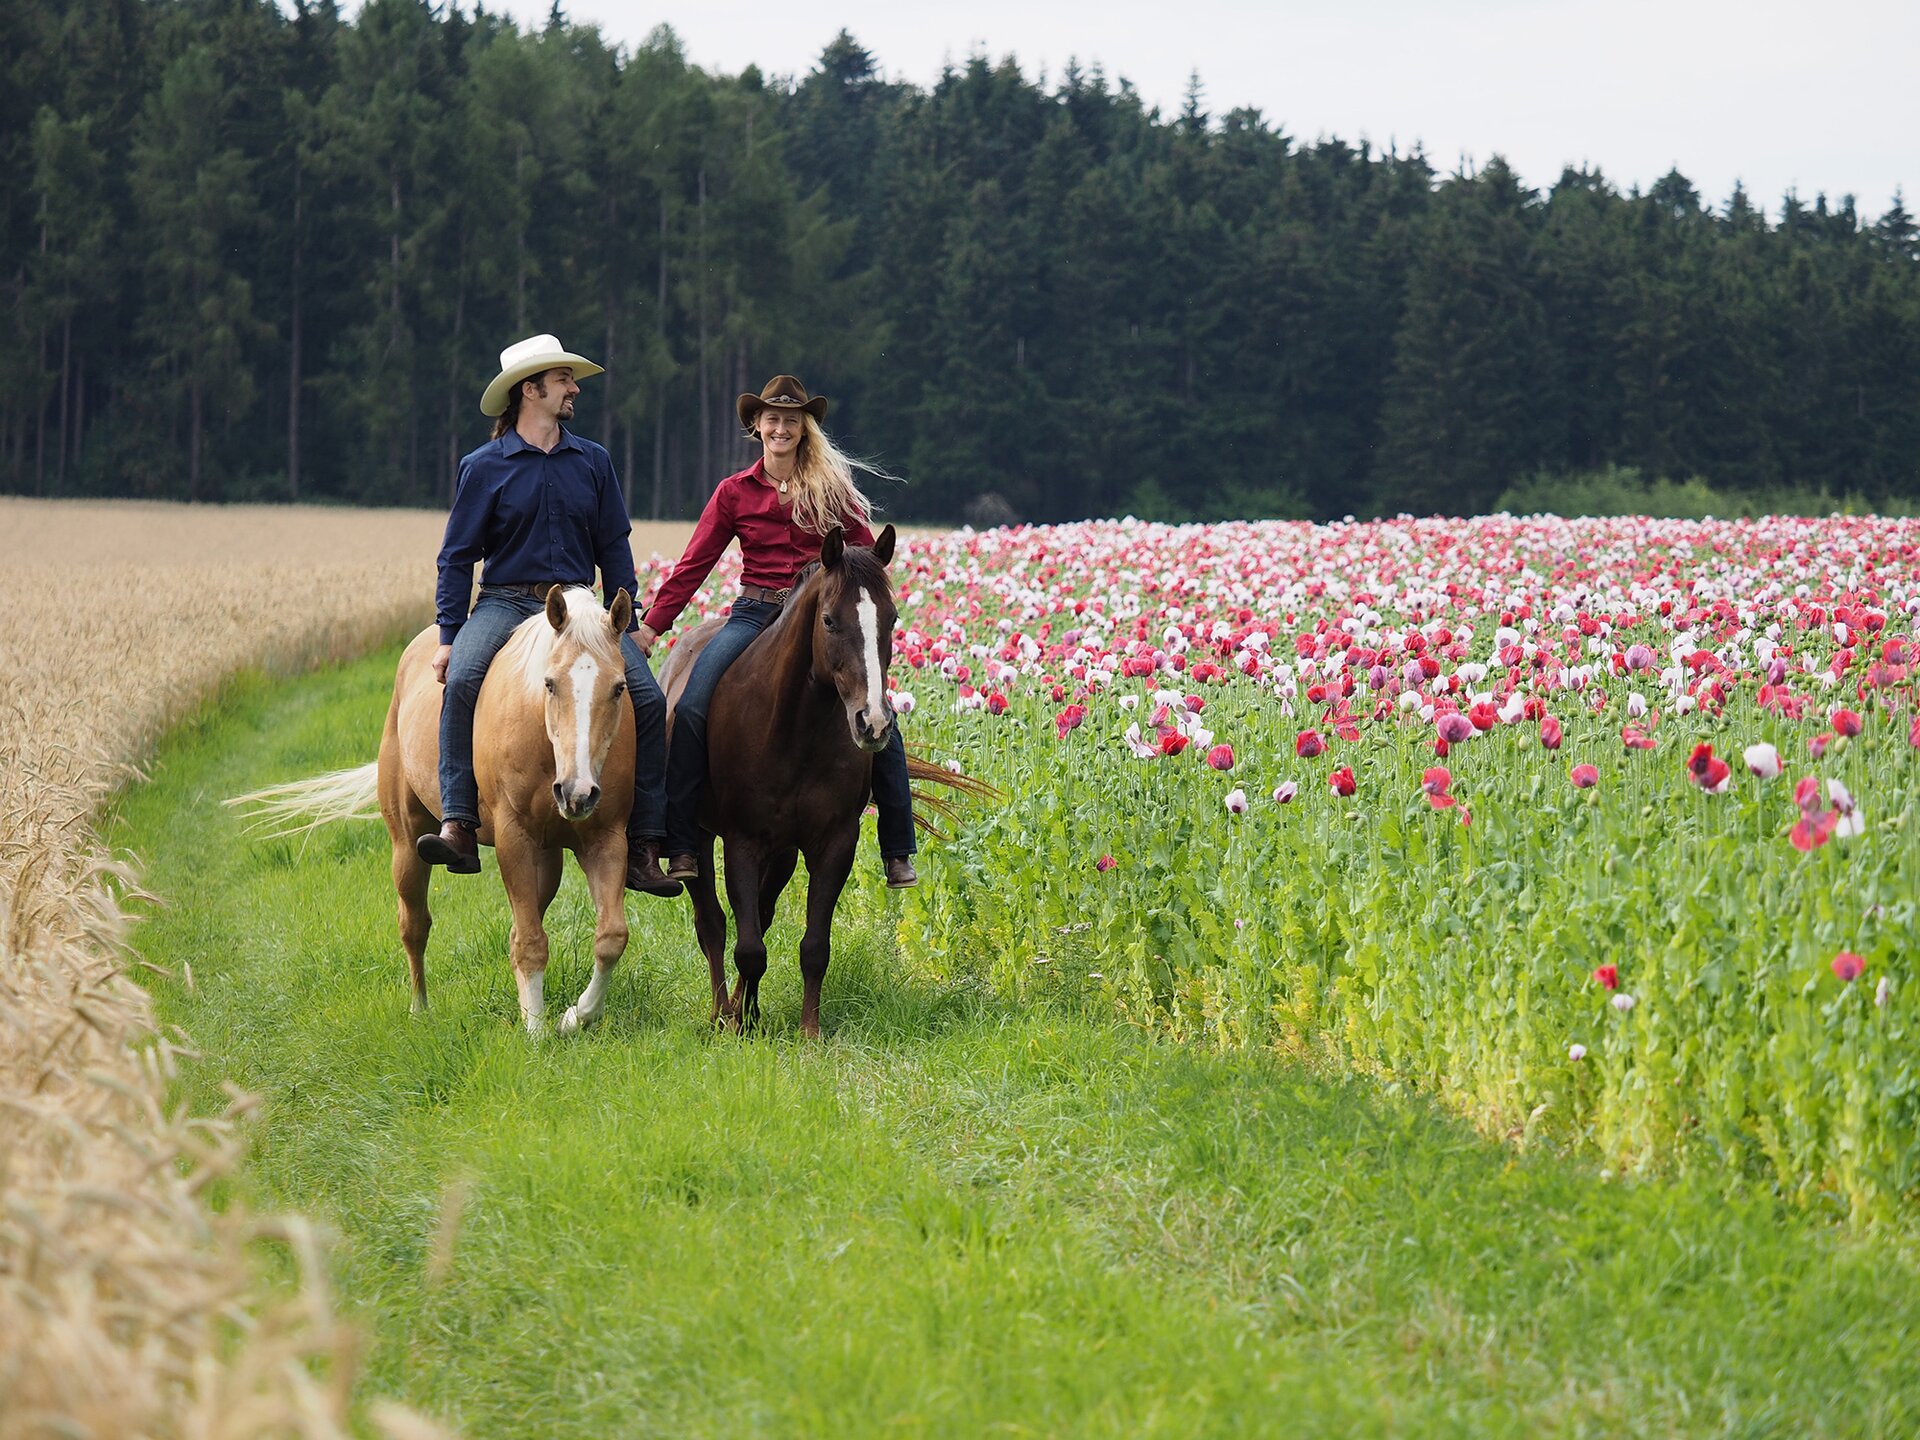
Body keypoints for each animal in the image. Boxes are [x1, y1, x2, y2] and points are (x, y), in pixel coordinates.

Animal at [231, 587, 637, 1036]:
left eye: (618, 687)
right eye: (550, 684)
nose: (576, 794)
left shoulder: (605, 839)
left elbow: (610, 937)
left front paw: (571, 1018)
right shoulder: (513, 839)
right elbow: (531, 944)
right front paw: (535, 1034)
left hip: (546, 858)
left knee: (521, 925)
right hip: (407, 845)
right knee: (415, 926)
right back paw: (419, 1010)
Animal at [660, 529, 983, 1036]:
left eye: (892, 619)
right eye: (829, 620)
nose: (873, 723)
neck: (796, 727)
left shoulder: (834, 842)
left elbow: (812, 946)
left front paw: (807, 1032)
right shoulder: (742, 842)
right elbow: (747, 946)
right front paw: (741, 1027)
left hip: (784, 850)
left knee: (761, 914)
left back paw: (745, 1008)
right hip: (696, 834)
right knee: (710, 922)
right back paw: (722, 1013)